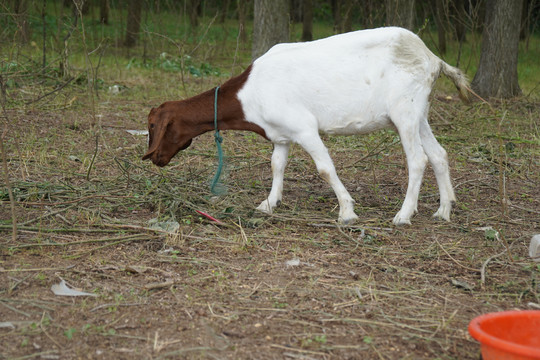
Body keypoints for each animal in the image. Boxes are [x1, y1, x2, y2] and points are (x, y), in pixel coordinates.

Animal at [142, 26, 468, 225]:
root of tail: (432, 58)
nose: (155, 159)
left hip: (404, 111)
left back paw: (403, 215)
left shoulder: (304, 129)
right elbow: (276, 165)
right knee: (438, 155)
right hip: (420, 113)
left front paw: (347, 211)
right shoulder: (281, 135)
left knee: (418, 159)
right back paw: (443, 210)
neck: (250, 92)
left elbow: (325, 168)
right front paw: (269, 203)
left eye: (153, 126)